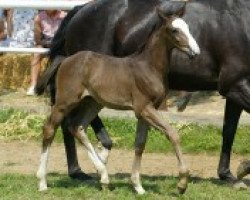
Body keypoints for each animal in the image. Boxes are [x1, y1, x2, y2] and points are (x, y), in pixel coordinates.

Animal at [37, 8, 200, 195]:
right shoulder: (144, 108)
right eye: (174, 30)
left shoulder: (146, 111)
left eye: (187, 27)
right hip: (65, 102)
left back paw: (104, 176)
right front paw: (182, 183)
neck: (148, 67)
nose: (195, 51)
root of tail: (66, 59)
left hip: (93, 103)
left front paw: (138, 186)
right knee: (49, 129)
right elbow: (173, 134)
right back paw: (42, 182)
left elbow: (140, 144)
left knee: (77, 127)